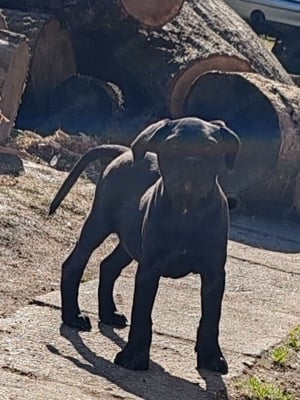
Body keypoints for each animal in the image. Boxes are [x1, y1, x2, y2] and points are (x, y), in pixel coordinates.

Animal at [50, 117, 240, 374]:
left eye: (211, 148)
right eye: (173, 146)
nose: (192, 162)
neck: (187, 209)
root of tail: (122, 153)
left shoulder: (214, 273)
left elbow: (211, 317)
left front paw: (211, 357)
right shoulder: (150, 268)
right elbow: (142, 313)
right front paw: (134, 356)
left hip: (129, 241)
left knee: (108, 266)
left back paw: (108, 314)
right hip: (98, 223)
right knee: (74, 264)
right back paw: (73, 316)